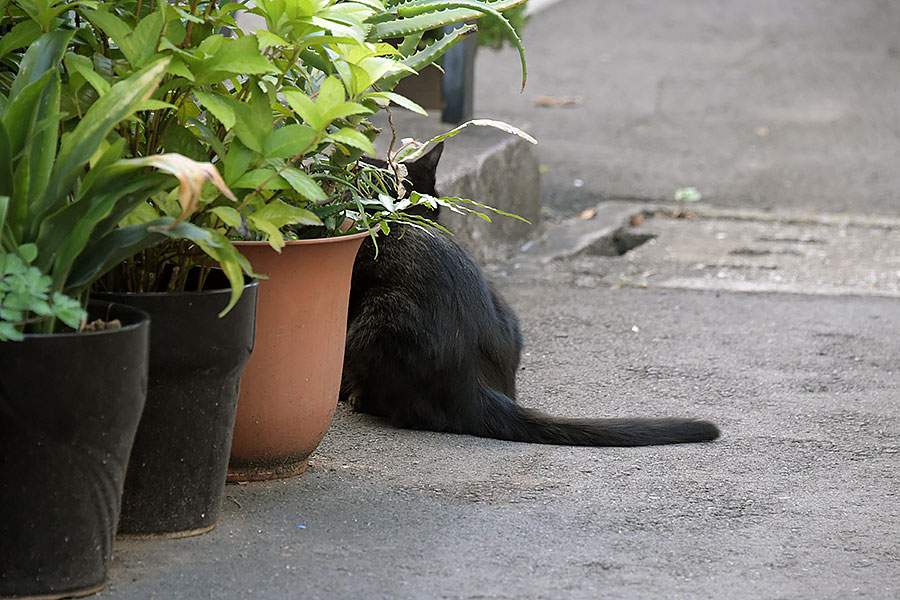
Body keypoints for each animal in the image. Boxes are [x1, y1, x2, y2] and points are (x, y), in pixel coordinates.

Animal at [342, 145, 720, 446]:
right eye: (434, 206)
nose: (440, 219)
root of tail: (478, 386)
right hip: (503, 306)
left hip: (373, 323)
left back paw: (360, 399)